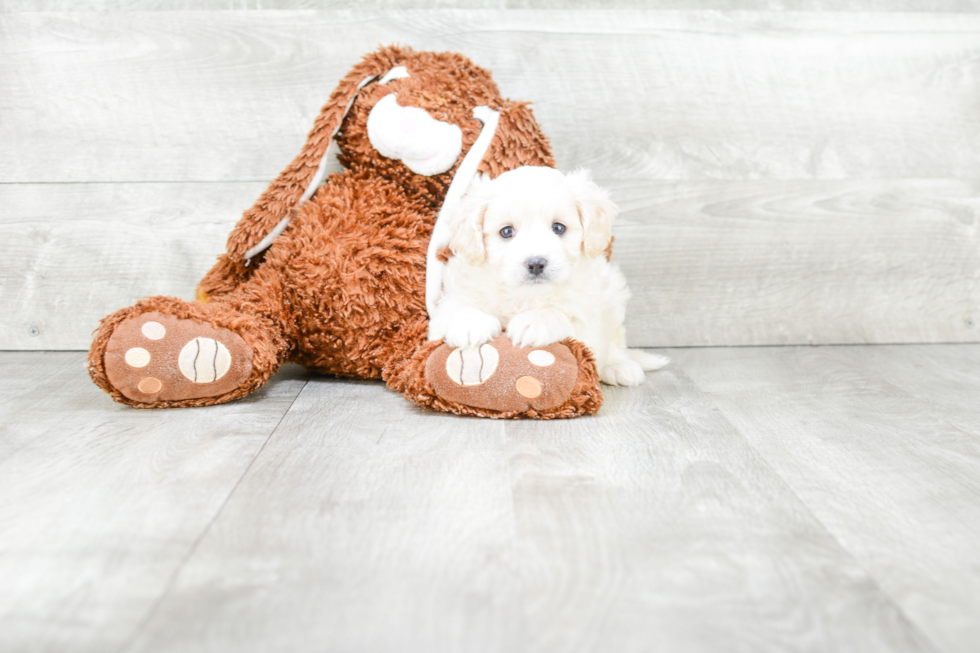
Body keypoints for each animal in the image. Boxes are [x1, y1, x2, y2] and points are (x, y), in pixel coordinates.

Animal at [428, 166, 668, 384]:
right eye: (507, 232)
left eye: (558, 228)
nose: (536, 264)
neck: (526, 296)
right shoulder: (445, 309)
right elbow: (452, 308)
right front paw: (470, 323)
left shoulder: (589, 328)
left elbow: (566, 318)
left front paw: (536, 321)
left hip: (613, 296)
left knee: (616, 340)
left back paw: (619, 366)